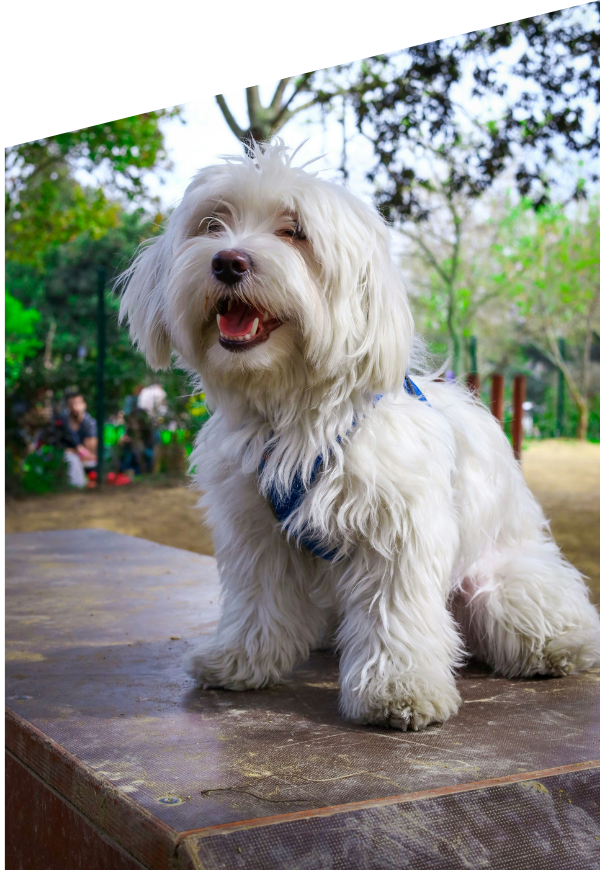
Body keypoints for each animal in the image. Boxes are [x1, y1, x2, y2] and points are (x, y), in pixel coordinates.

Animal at [120, 140, 600, 732]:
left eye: (294, 232)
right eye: (212, 223)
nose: (228, 261)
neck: (294, 412)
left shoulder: (398, 528)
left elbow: (393, 611)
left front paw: (399, 689)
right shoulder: (254, 528)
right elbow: (258, 598)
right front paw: (241, 659)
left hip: (501, 587)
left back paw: (559, 647)